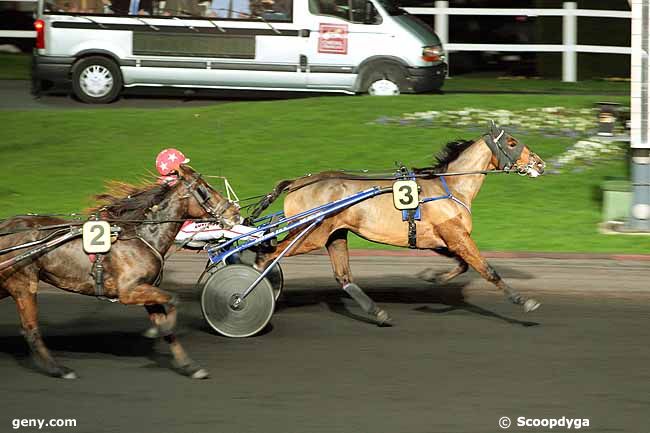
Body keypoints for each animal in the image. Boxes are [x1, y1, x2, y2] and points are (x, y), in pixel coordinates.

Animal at [0, 165, 240, 378]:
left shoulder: (145, 290)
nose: (235, 213)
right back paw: (59, 370)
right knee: (31, 329)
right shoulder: (128, 291)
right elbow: (174, 300)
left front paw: (189, 366)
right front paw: (158, 331)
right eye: (204, 189)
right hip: (23, 284)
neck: (142, 236)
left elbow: (167, 320)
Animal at [251, 121, 544, 324]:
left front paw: (432, 276)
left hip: (335, 234)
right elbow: (487, 269)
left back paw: (378, 312)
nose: (540, 164)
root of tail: (296, 182)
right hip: (310, 235)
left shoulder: (442, 239)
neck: (450, 187)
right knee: (267, 256)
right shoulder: (457, 236)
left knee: (343, 276)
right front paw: (523, 301)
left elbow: (462, 265)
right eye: (512, 142)